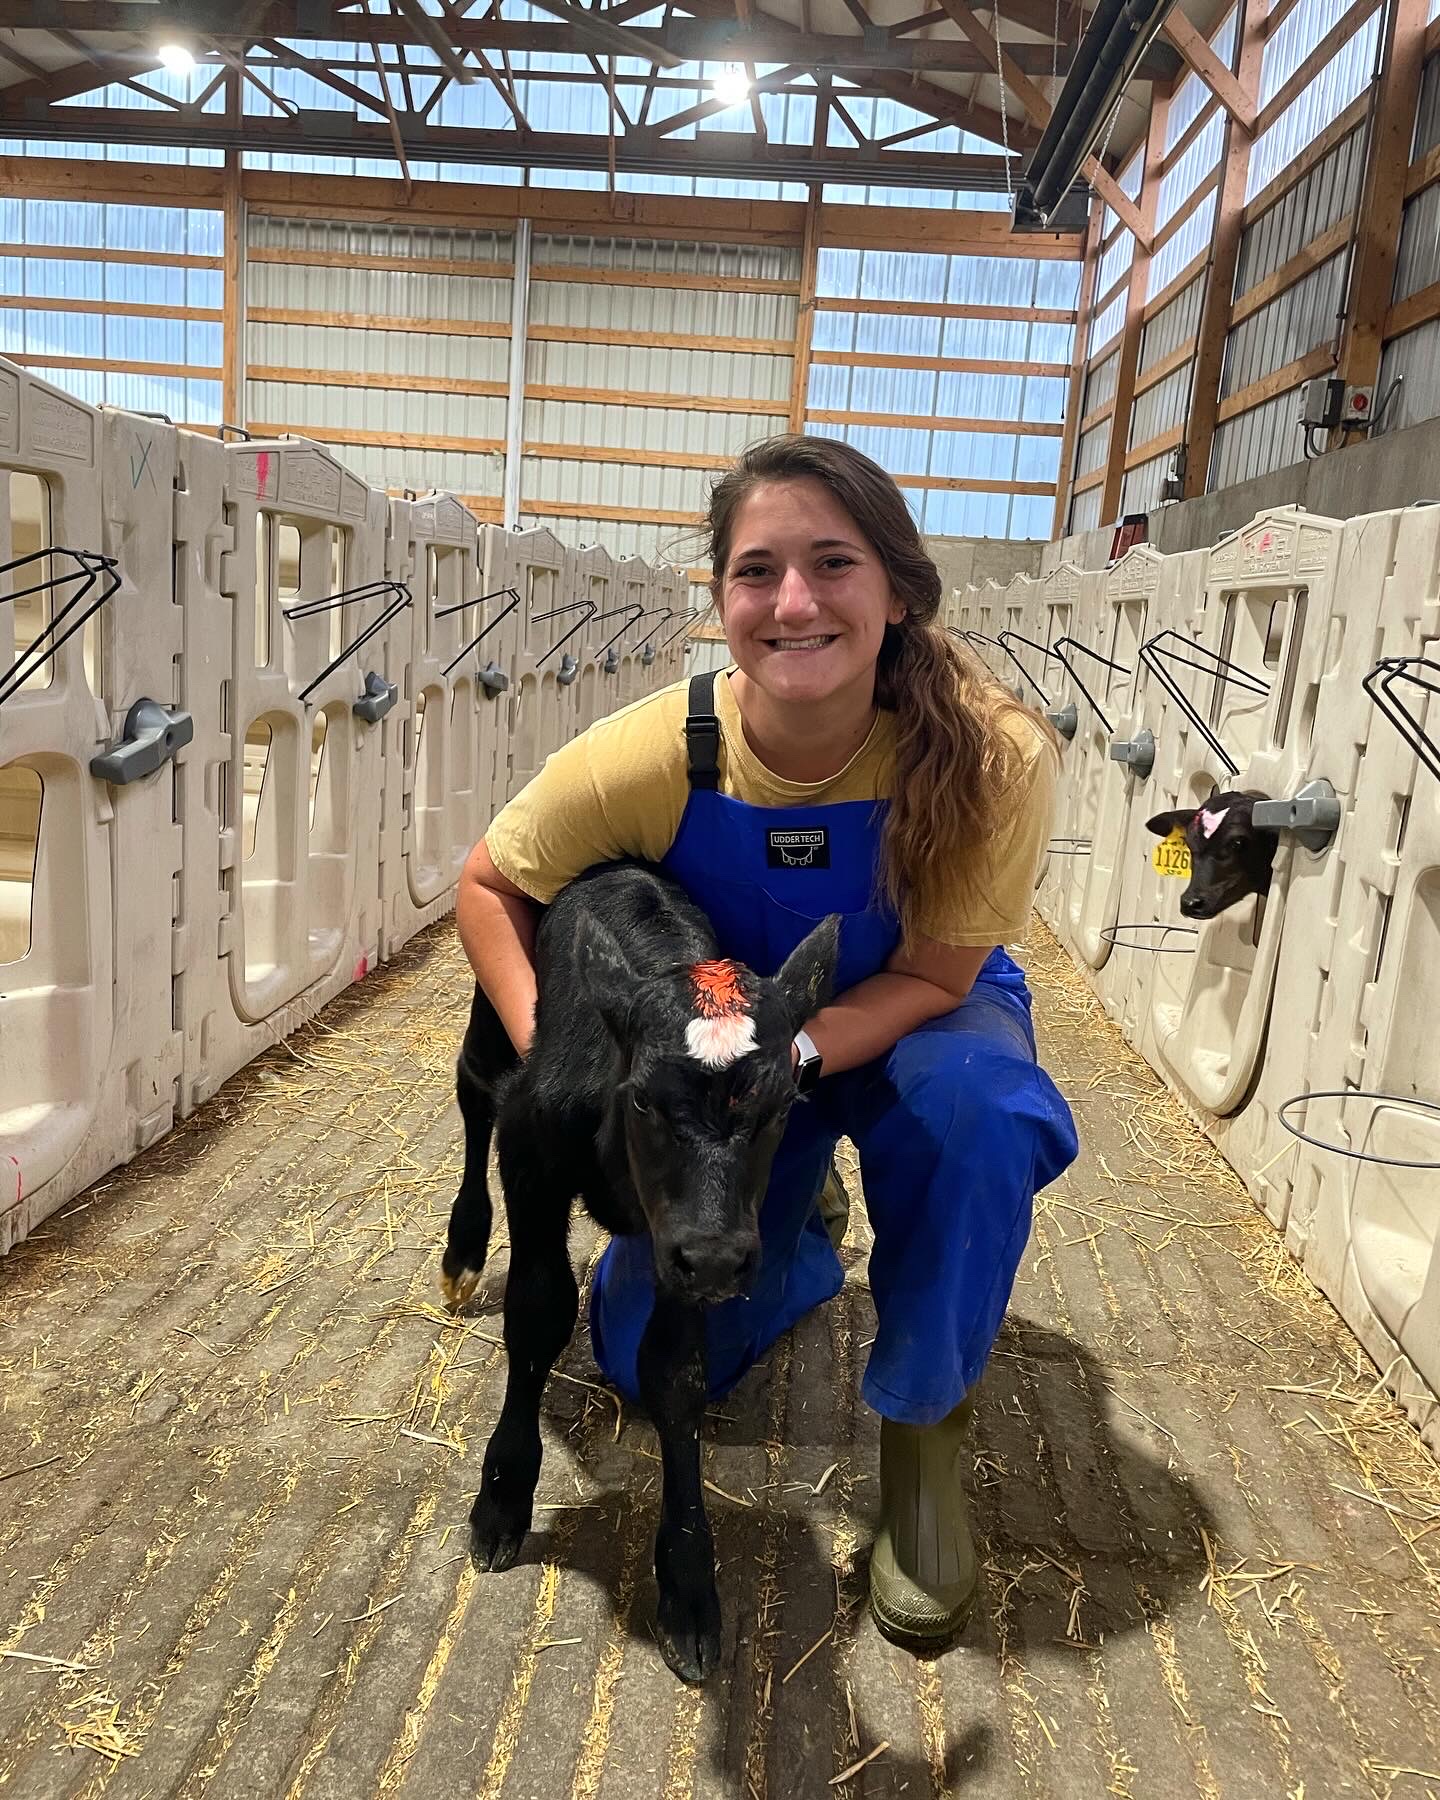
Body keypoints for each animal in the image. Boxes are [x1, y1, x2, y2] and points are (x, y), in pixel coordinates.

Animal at [444, 864, 838, 1677]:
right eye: (647, 1102)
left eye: (783, 1106)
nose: (718, 1258)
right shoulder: (531, 1152)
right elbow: (537, 1311)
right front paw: (502, 1497)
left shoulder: (681, 1243)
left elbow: (673, 1369)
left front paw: (688, 1583)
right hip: (491, 1013)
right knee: (473, 1086)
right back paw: (462, 1253)